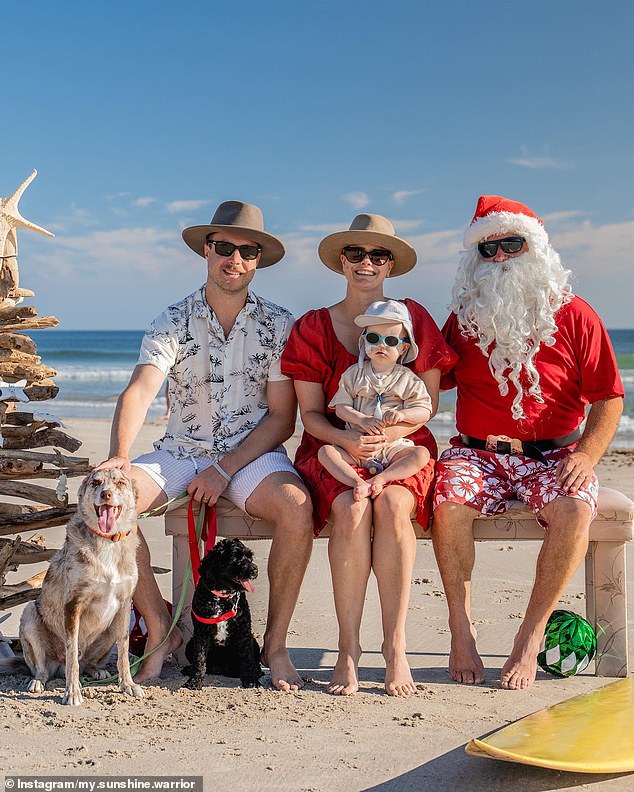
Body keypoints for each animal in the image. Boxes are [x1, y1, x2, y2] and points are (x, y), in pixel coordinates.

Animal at [15, 468, 143, 704]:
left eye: (120, 483)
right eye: (96, 483)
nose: (106, 494)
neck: (108, 541)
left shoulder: (124, 605)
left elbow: (123, 650)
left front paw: (127, 685)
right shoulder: (73, 605)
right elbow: (72, 653)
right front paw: (73, 692)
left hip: (110, 628)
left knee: (89, 663)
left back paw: (96, 670)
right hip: (30, 615)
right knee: (45, 668)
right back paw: (38, 681)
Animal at [183, 540, 262, 688]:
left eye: (250, 557)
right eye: (235, 558)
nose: (255, 570)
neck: (222, 597)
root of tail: (222, 669)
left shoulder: (243, 632)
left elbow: (247, 658)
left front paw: (251, 680)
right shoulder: (201, 634)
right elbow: (199, 659)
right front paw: (195, 681)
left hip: (253, 641)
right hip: (190, 644)